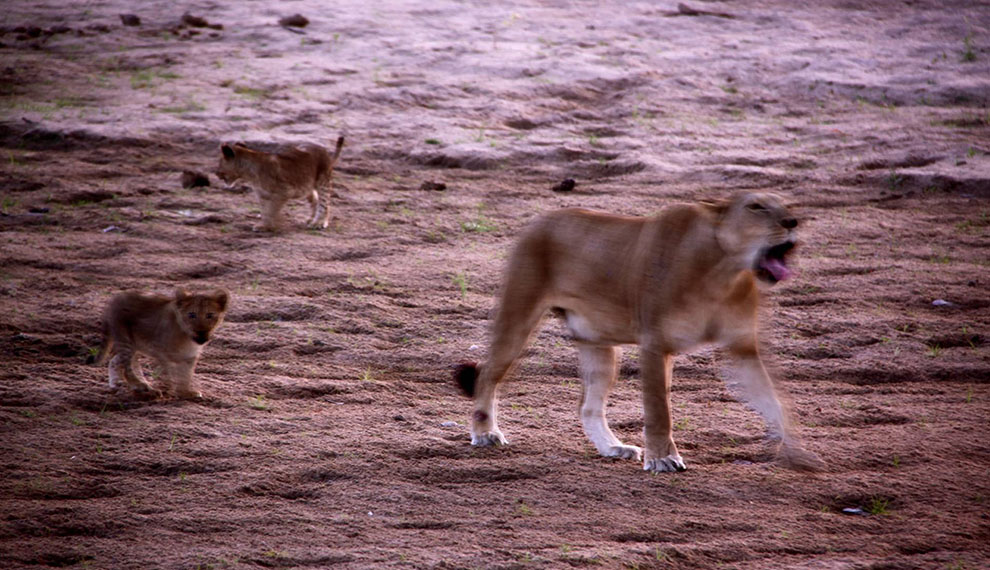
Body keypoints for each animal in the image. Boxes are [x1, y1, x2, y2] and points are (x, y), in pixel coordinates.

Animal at [456, 191, 820, 470]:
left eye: (784, 206)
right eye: (756, 207)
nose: (792, 222)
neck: (723, 271)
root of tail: (541, 218)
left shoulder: (743, 347)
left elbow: (775, 401)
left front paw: (797, 453)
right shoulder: (655, 343)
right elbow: (659, 410)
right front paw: (663, 459)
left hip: (599, 345)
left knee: (587, 406)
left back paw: (613, 447)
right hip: (519, 315)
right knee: (487, 374)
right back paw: (484, 433)